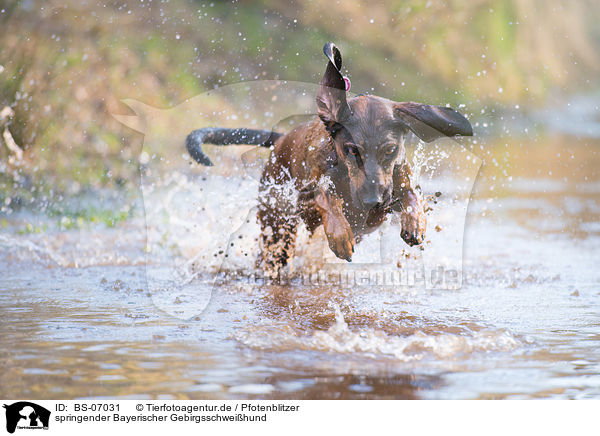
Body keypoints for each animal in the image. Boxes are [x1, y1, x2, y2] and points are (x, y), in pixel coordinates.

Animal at [188, 41, 474, 272]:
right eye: (352, 149)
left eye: (390, 150)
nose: (373, 201)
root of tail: (280, 139)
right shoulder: (309, 194)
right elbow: (326, 197)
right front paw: (340, 235)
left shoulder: (397, 182)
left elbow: (411, 194)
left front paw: (416, 222)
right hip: (278, 226)